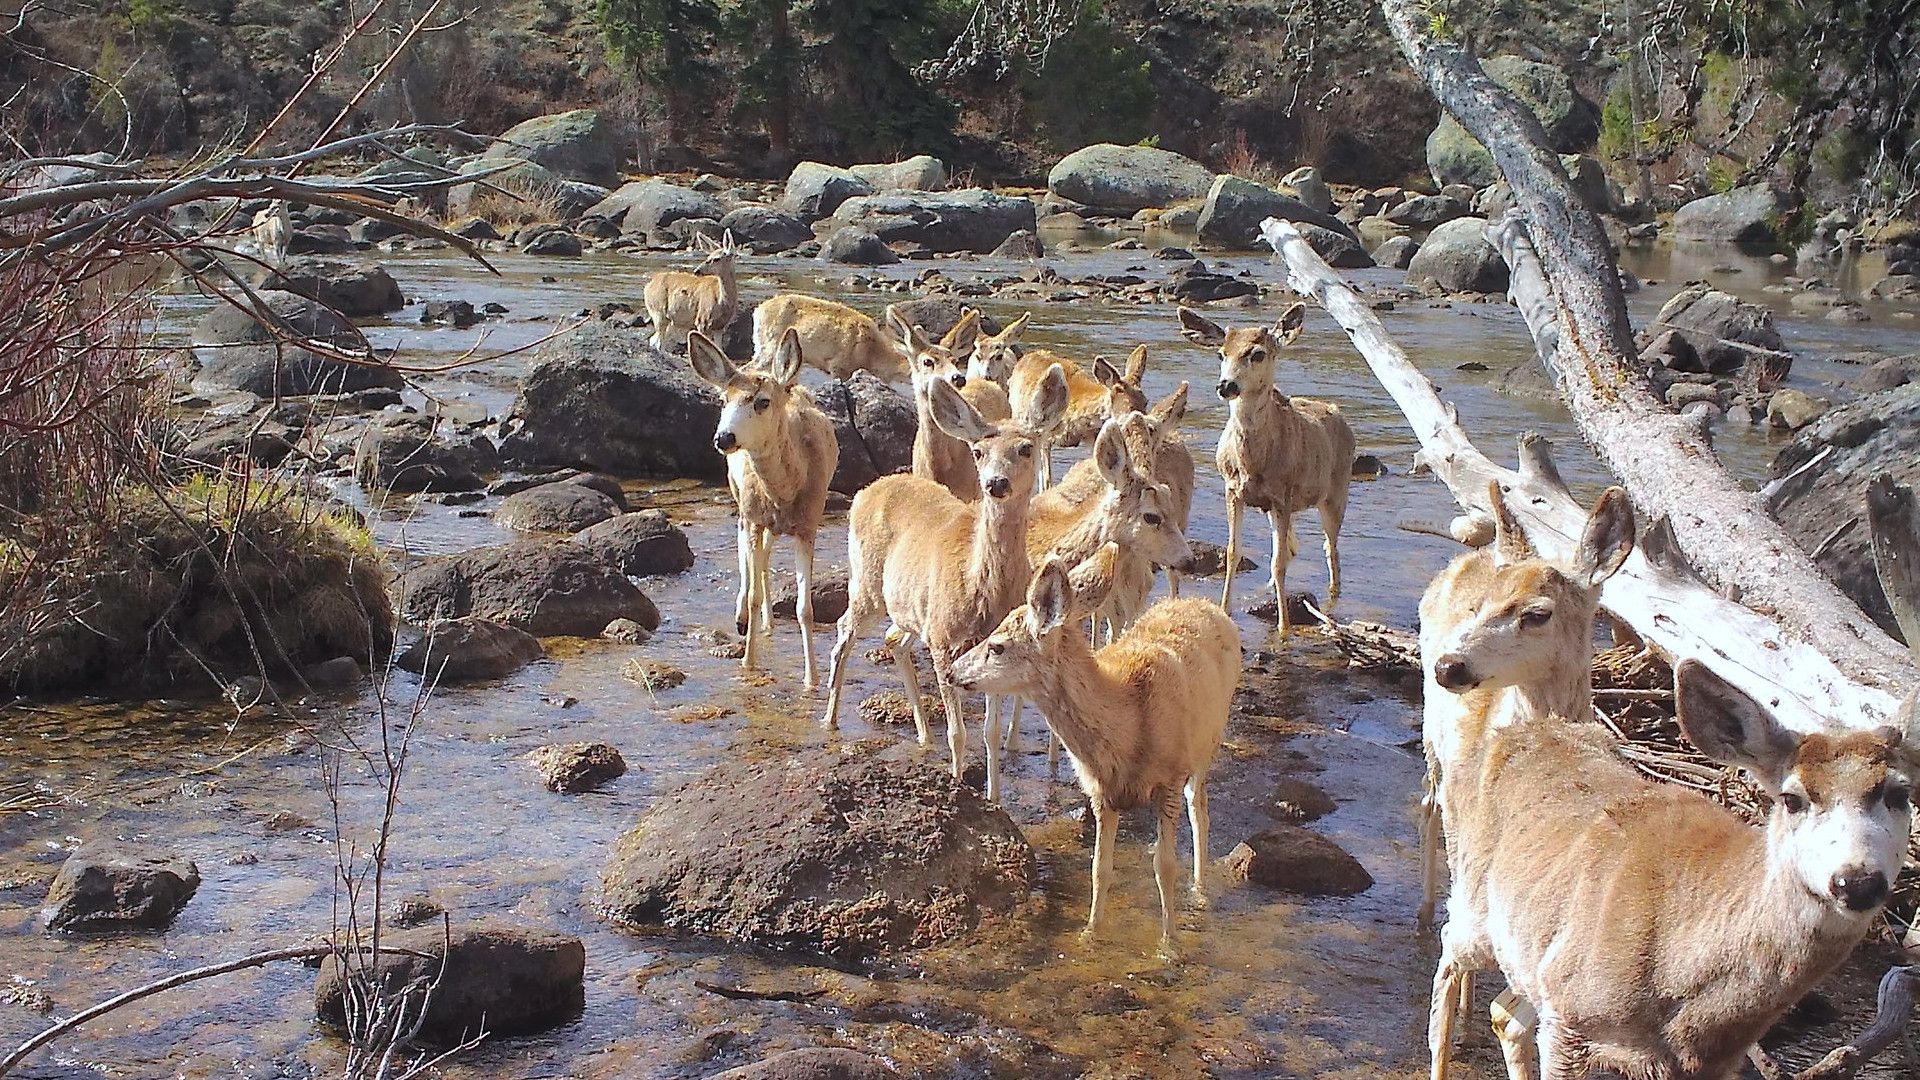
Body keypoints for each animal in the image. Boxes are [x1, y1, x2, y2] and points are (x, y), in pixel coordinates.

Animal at [687, 327, 838, 688]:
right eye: (723, 400)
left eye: (762, 401)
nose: (724, 438)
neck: (784, 491)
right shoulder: (755, 514)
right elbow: (754, 591)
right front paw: (748, 662)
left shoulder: (809, 523)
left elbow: (805, 609)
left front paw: (812, 679)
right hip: (740, 499)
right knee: (745, 552)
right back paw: (743, 616)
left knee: (765, 557)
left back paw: (769, 621)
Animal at [820, 366, 1070, 803]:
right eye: (978, 452)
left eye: (1025, 448)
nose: (995, 483)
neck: (980, 588)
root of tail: (870, 488)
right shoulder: (942, 639)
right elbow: (958, 733)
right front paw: (956, 785)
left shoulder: (990, 647)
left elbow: (989, 733)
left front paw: (994, 798)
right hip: (867, 583)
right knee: (844, 630)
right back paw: (830, 720)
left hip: (909, 608)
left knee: (893, 641)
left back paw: (922, 734)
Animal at [953, 543, 1241, 953]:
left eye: (997, 646)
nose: (952, 671)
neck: (1127, 725)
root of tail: (1207, 605)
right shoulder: (1100, 793)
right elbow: (1099, 867)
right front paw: (1090, 933)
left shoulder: (1169, 777)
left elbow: (1165, 866)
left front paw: (1169, 944)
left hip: (1207, 744)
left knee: (1199, 810)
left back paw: (1199, 890)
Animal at [1179, 303, 1354, 636]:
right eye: (1221, 354)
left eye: (1257, 354)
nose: (1226, 385)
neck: (1252, 464)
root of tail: (1338, 414)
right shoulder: (1233, 490)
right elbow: (1233, 552)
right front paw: (1225, 609)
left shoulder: (1282, 496)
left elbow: (1278, 561)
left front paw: (1284, 627)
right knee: (1295, 546)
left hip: (1335, 494)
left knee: (1330, 547)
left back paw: (1332, 599)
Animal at [1413, 482, 1631, 933]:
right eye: (1478, 606)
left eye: (1538, 613)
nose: (1449, 666)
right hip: (1432, 740)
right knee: (1428, 805)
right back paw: (1423, 912)